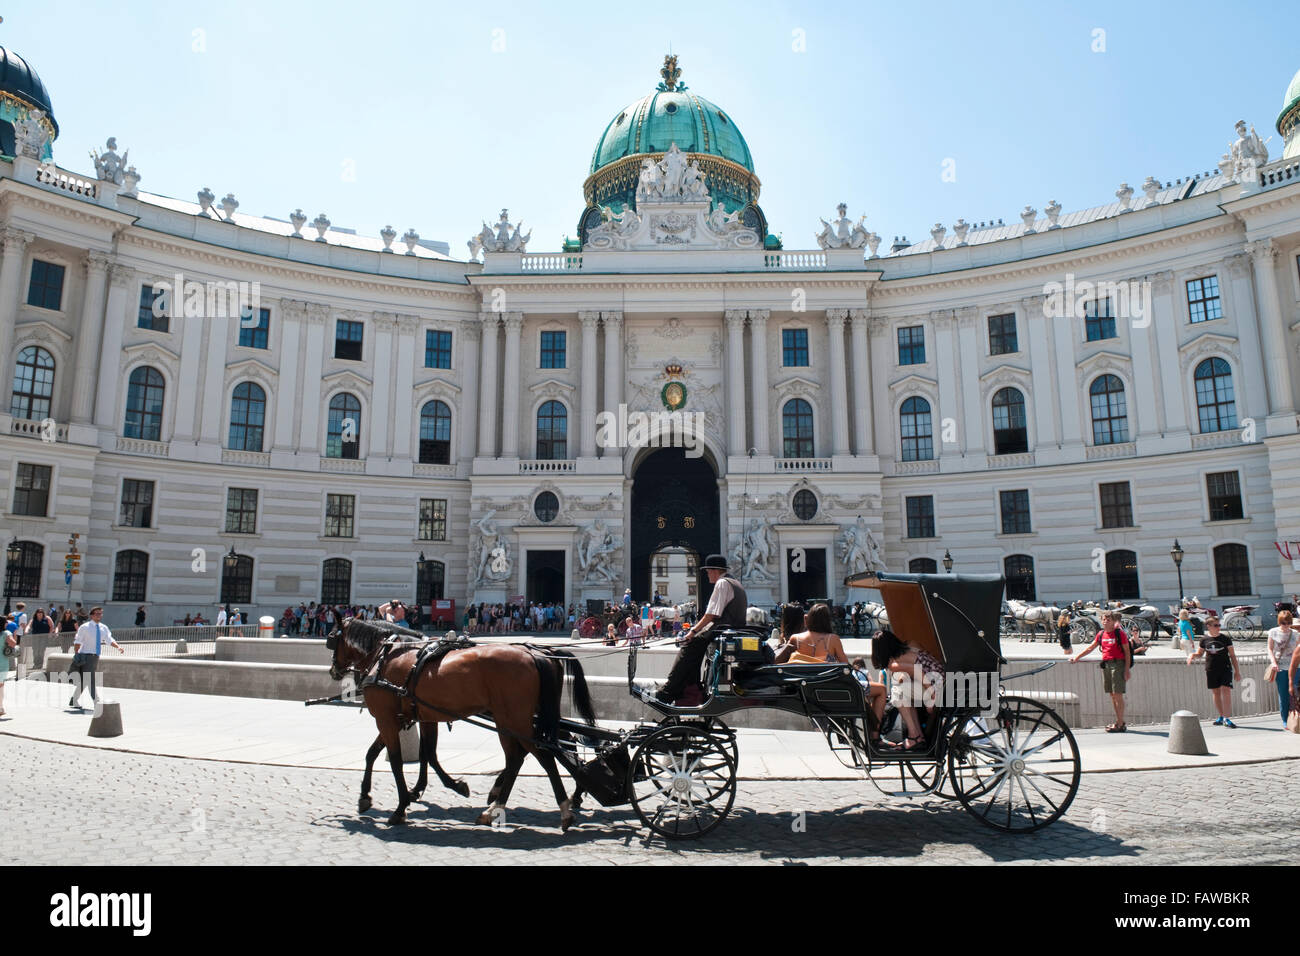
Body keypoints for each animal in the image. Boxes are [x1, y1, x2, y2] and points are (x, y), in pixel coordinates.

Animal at [327, 621, 595, 832]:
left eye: (332, 640)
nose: (333, 671)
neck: (390, 656)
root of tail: (538, 654)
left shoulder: (387, 717)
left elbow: (398, 759)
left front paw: (402, 805)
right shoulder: (413, 716)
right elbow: (412, 753)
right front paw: (373, 796)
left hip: (515, 719)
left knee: (540, 754)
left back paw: (562, 808)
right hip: (517, 718)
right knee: (529, 754)